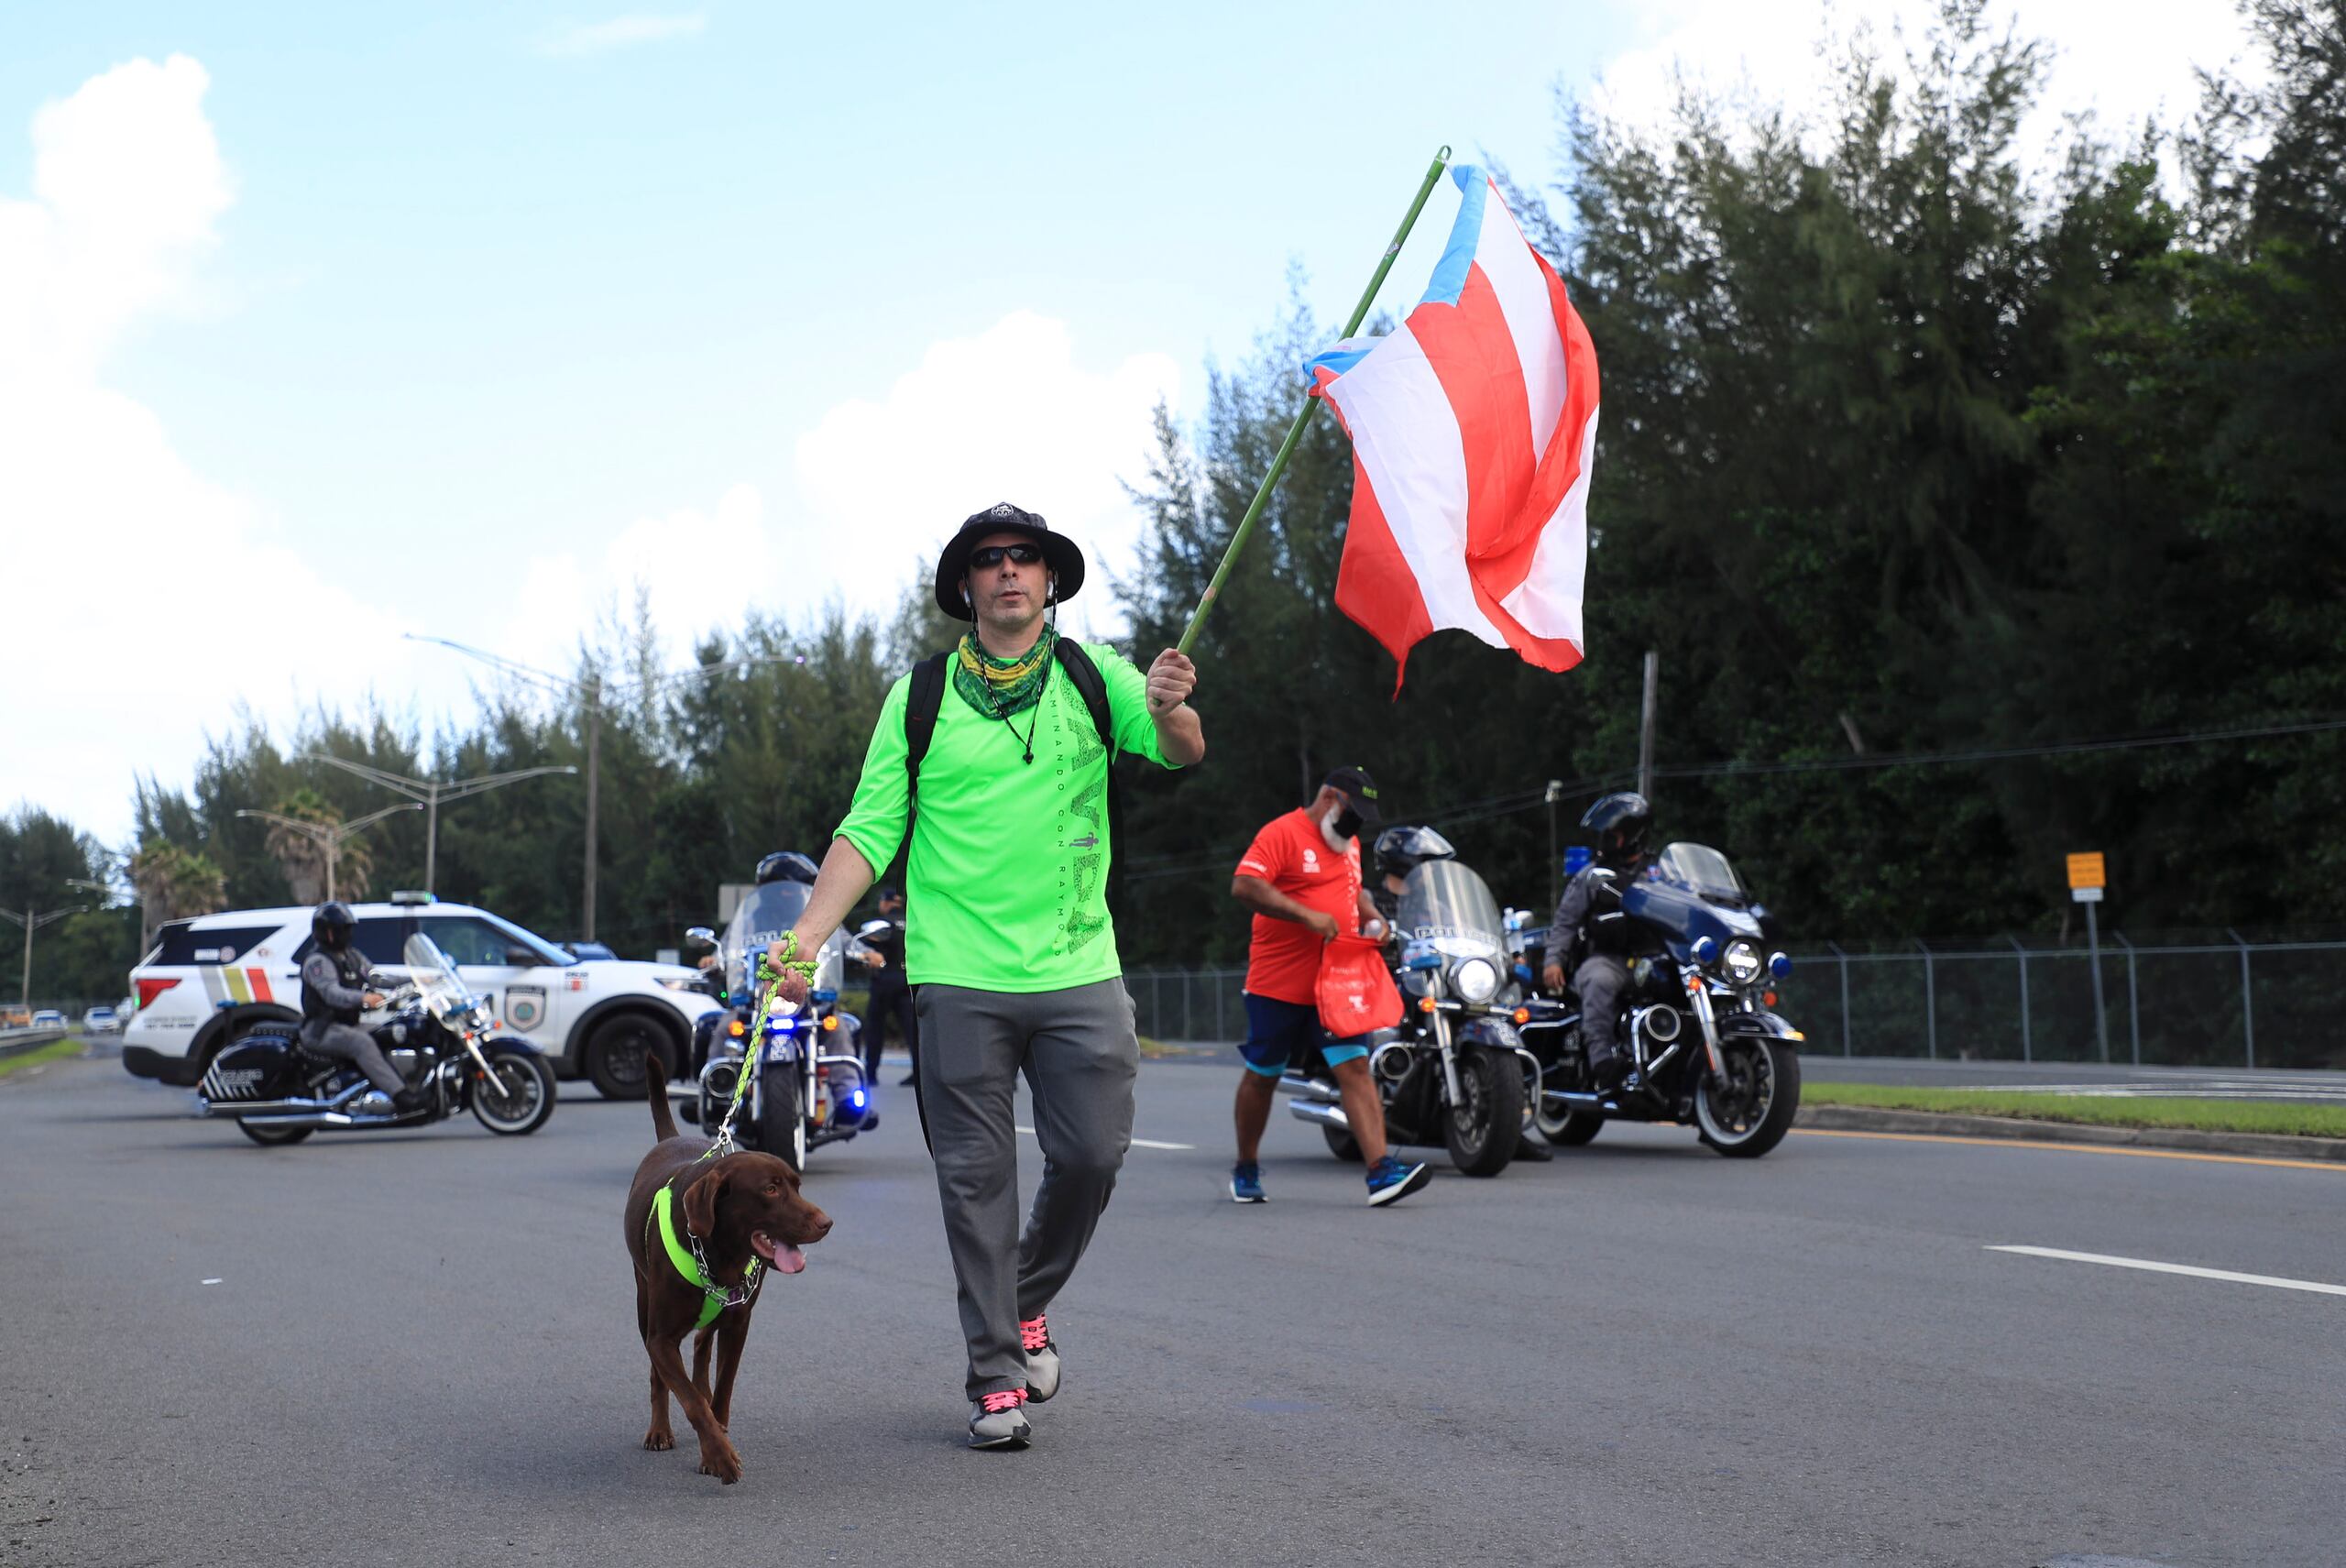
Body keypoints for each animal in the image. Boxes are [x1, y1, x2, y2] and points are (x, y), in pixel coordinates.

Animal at [623, 1080, 835, 1483]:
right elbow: (689, 1400)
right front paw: (719, 1454)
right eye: (770, 1189)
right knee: (660, 1375)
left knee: (703, 1345)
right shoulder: (661, 1339)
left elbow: (722, 1389)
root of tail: (672, 1138)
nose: (826, 1223)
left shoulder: (739, 1323)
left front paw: (716, 1440)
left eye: (797, 1185)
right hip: (643, 1303)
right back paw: (660, 1430)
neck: (720, 1253)